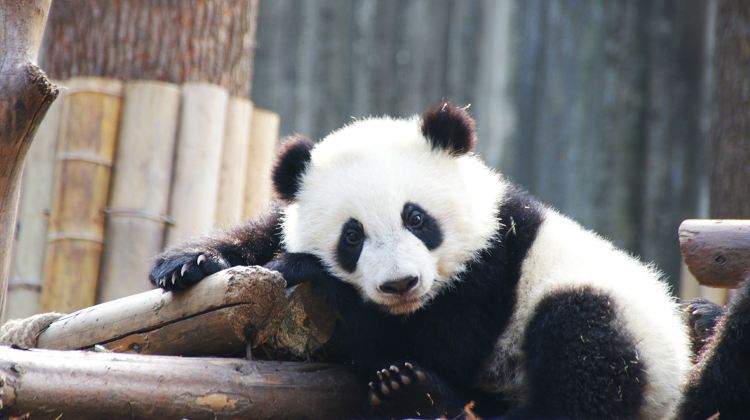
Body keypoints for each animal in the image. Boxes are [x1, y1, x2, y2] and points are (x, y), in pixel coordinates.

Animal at [150, 102, 750, 419]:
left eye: (417, 218)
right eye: (352, 236)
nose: (400, 283)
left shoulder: (489, 267)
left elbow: (430, 342)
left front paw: (302, 271)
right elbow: (264, 227)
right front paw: (187, 263)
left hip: (632, 337)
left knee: (585, 353)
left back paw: (422, 392)